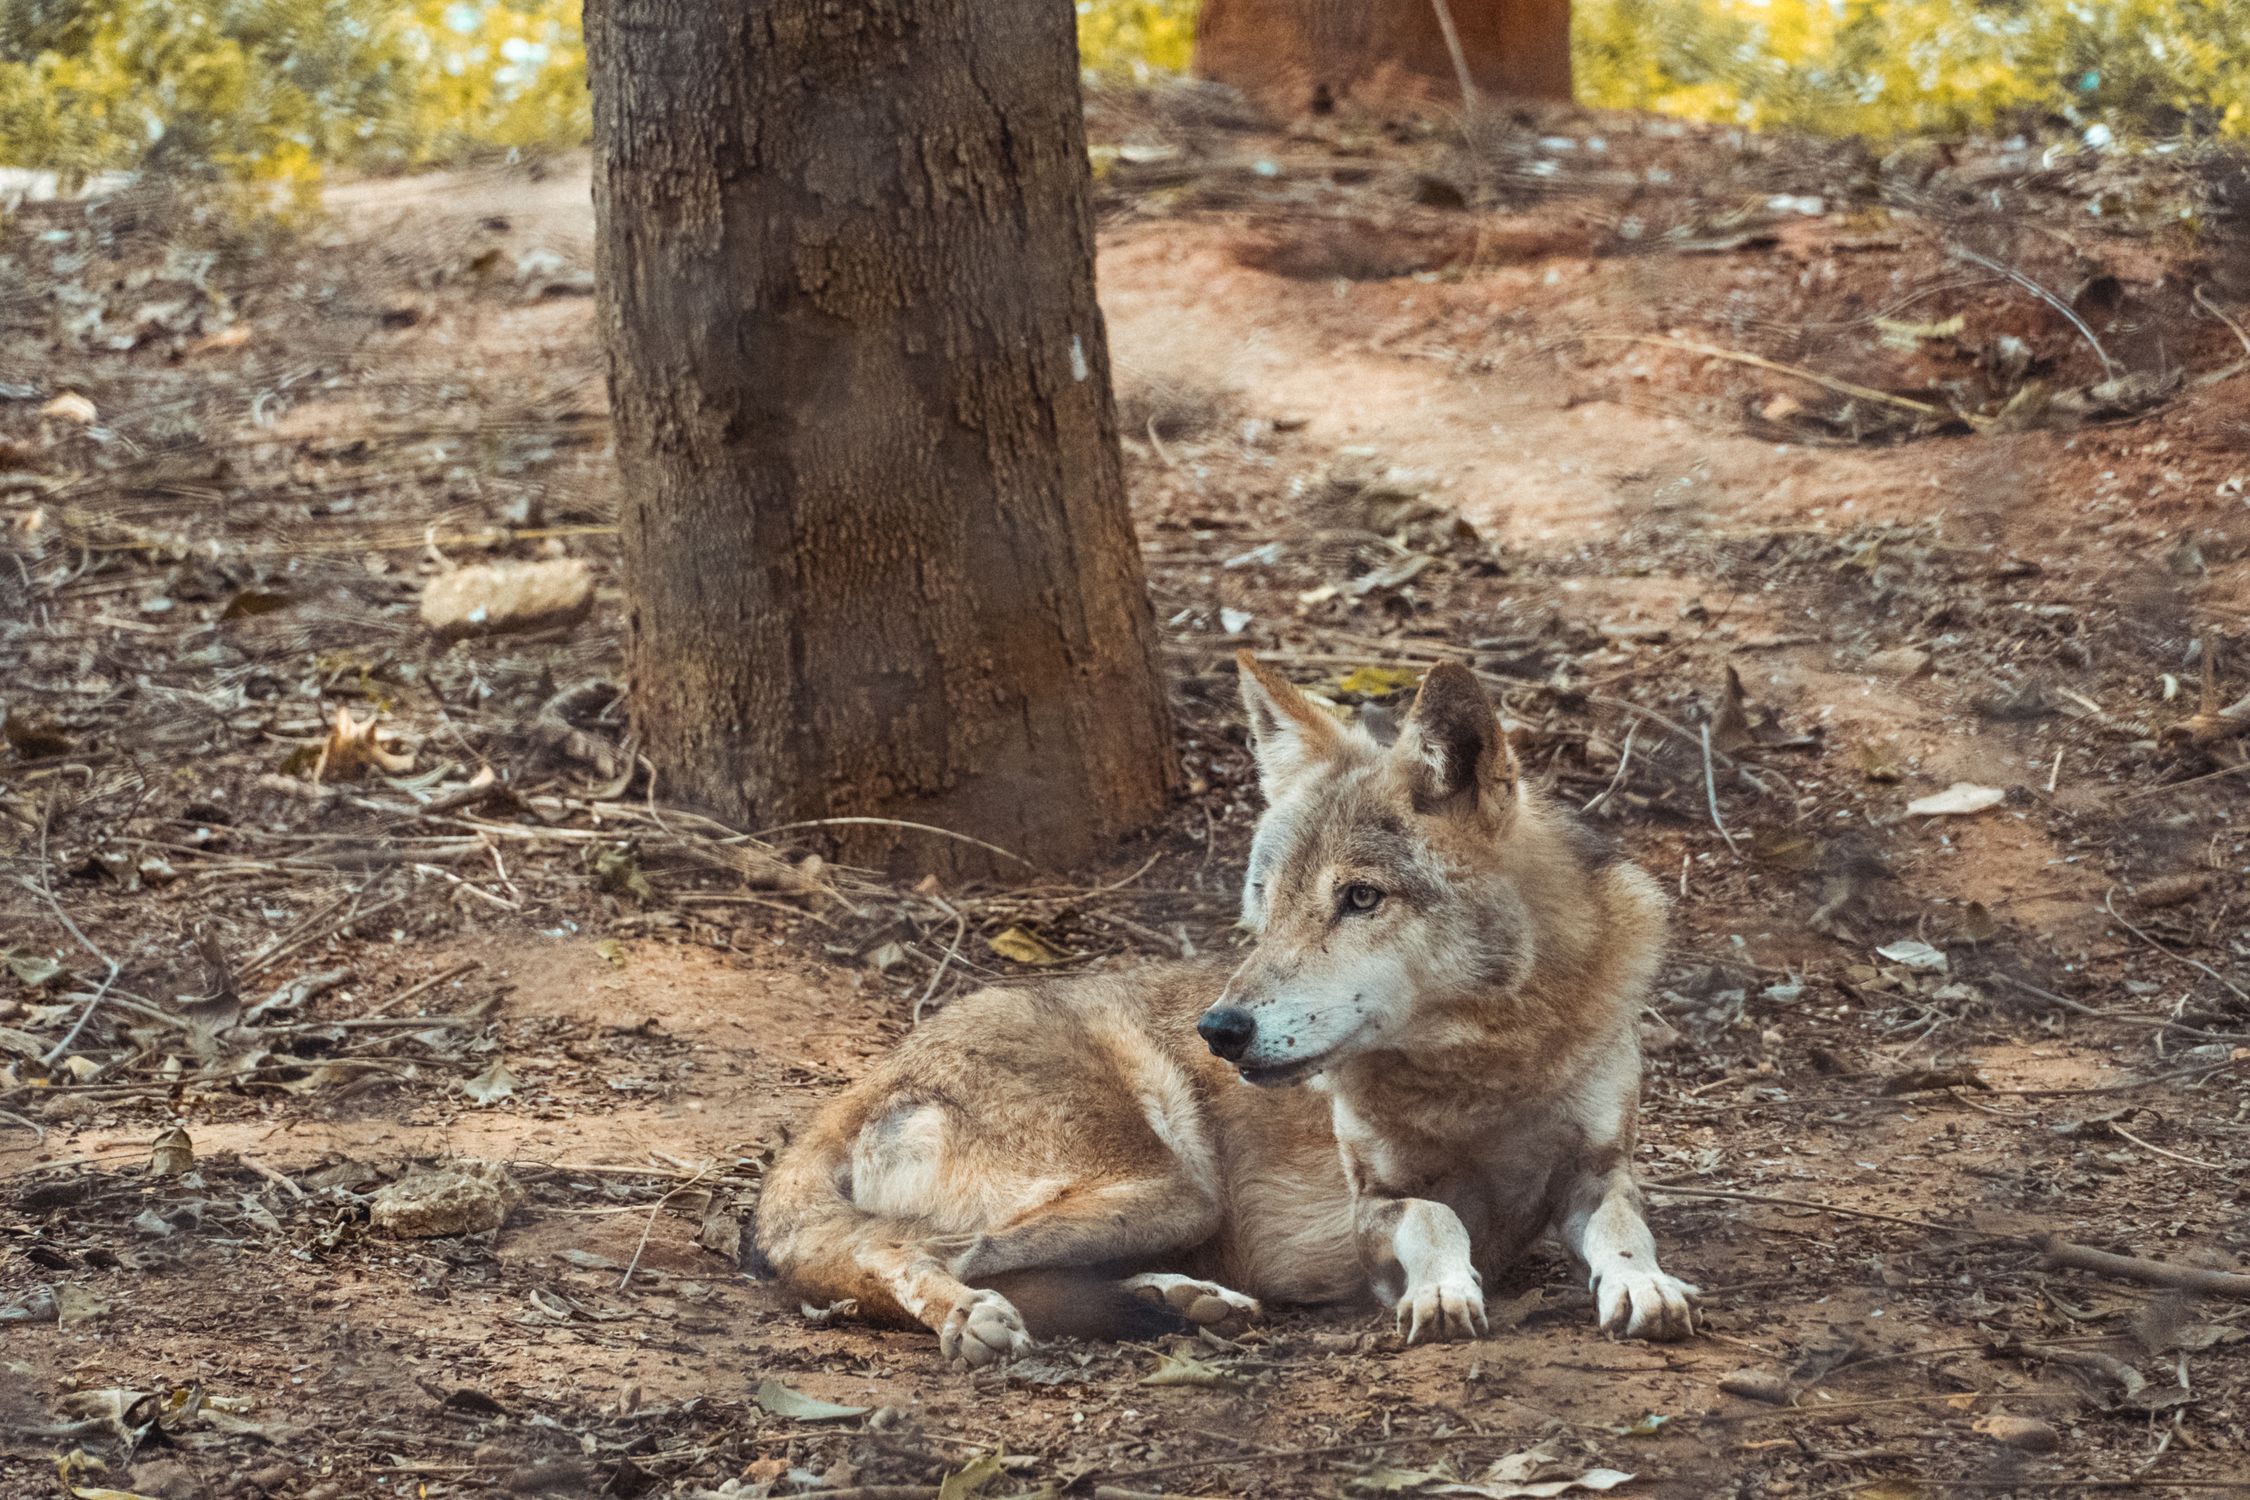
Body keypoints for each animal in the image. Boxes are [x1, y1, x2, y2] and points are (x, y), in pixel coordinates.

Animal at [752, 653, 1694, 1365]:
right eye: (1265, 902)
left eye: (1360, 898)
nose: (1219, 1030)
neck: (1487, 1066)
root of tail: (856, 1087)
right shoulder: (1375, 1201)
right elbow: (1436, 1218)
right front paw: (1441, 1293)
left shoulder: (1599, 1168)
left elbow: (1625, 1227)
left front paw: (1646, 1284)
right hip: (1173, 1189)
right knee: (915, 1250)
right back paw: (976, 1317)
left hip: (1166, 1207)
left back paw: (1186, 1301)